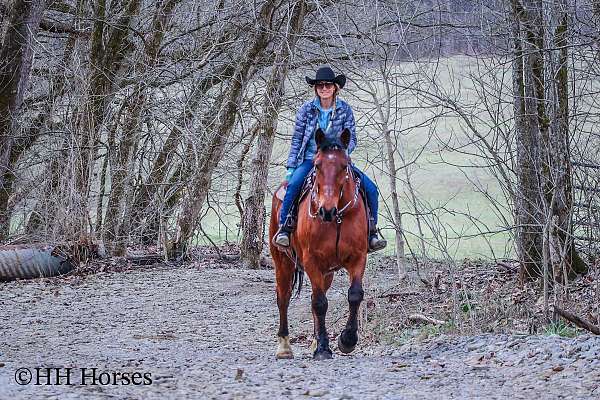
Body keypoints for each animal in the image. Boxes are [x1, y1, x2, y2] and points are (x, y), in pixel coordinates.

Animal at [270, 130, 368, 360]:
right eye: (316, 165)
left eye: (344, 165)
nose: (326, 210)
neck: (337, 218)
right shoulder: (311, 260)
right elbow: (320, 302)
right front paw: (323, 349)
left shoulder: (358, 257)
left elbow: (354, 294)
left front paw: (346, 340)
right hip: (282, 262)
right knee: (283, 297)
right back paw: (284, 347)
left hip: (327, 272)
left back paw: (315, 341)